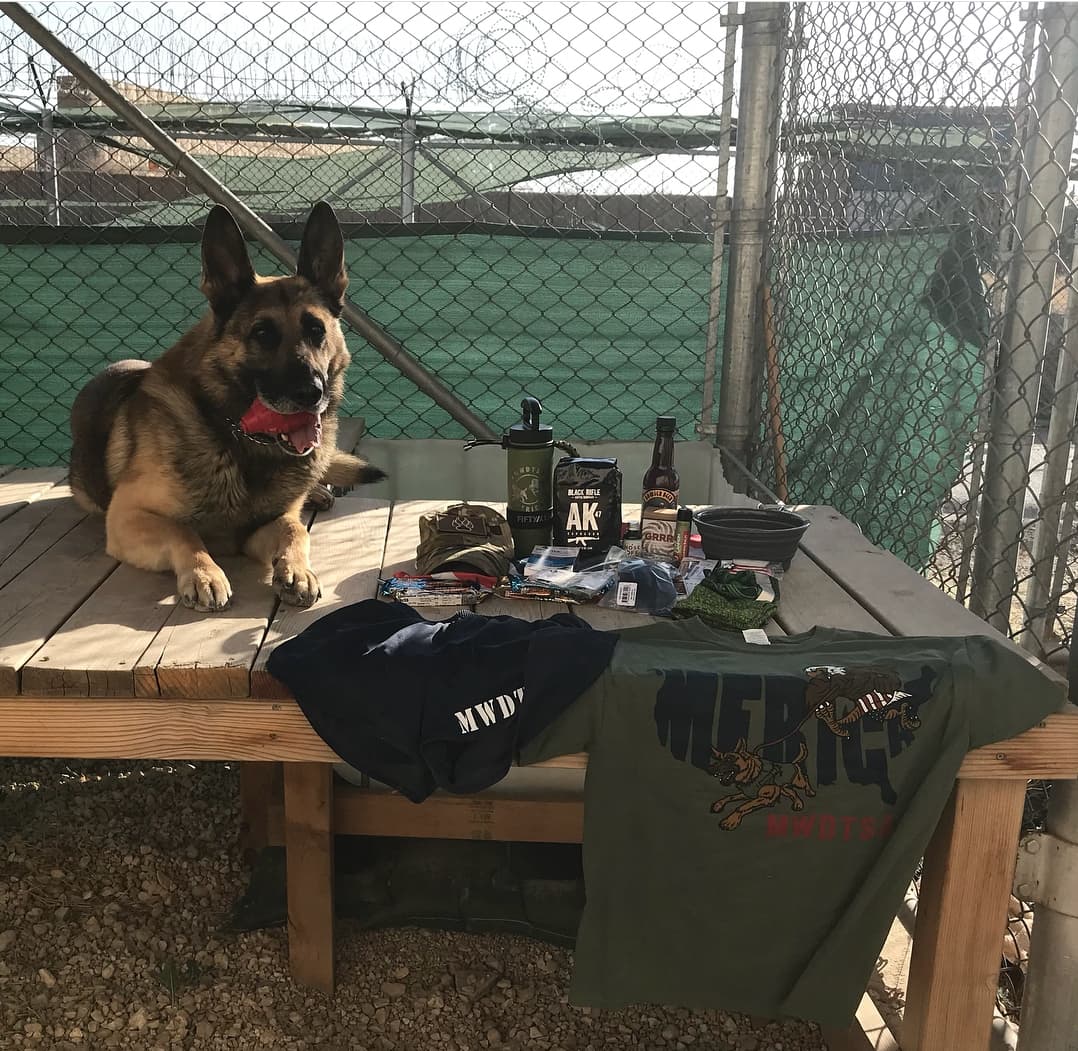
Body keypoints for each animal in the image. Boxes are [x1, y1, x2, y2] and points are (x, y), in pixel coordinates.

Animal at [68, 202, 388, 612]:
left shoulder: (263, 525)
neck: (239, 438)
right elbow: (183, 531)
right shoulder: (127, 517)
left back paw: (316, 491)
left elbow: (294, 528)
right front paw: (205, 574)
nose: (312, 394)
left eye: (316, 330)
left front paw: (298, 571)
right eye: (262, 333)